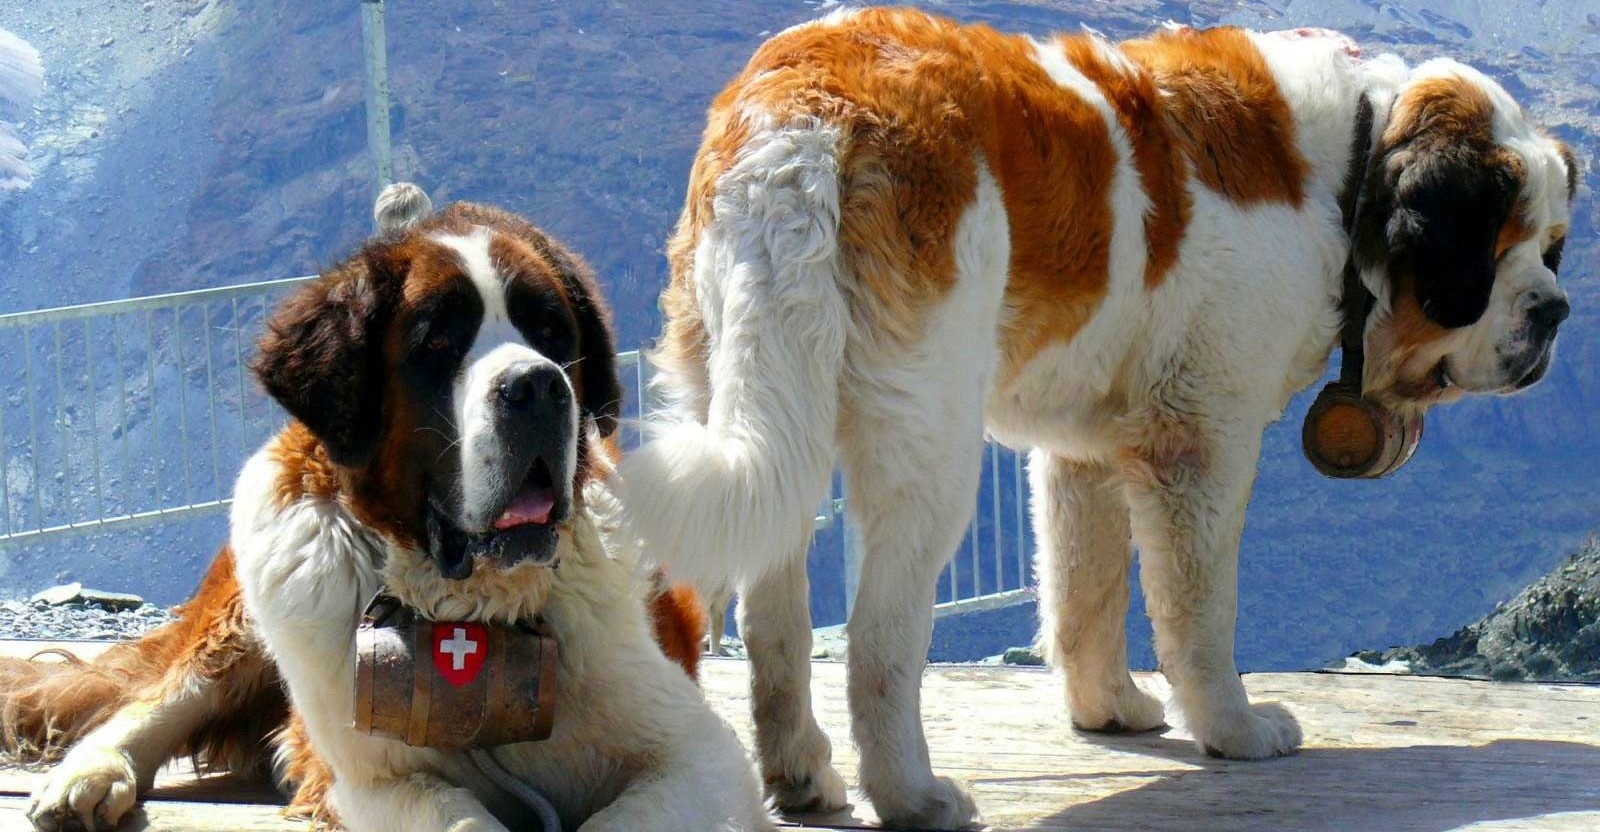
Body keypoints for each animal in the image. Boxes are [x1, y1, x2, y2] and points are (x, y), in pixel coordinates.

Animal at [4, 186, 769, 832]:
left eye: (554, 334)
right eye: (437, 343)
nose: (537, 386)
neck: (470, 606)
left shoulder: (700, 753)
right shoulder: (373, 782)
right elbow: (459, 818)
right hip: (243, 611)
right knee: (155, 698)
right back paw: (88, 776)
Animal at [617, 9, 1578, 828]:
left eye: (1553, 244)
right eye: (1503, 243)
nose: (1556, 311)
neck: (1350, 168)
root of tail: (802, 122)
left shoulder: (1084, 451)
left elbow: (1087, 591)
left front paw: (1107, 710)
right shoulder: (1200, 438)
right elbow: (1199, 608)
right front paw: (1235, 730)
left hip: (747, 380)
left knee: (772, 612)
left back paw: (804, 777)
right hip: (927, 443)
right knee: (878, 642)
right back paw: (916, 796)